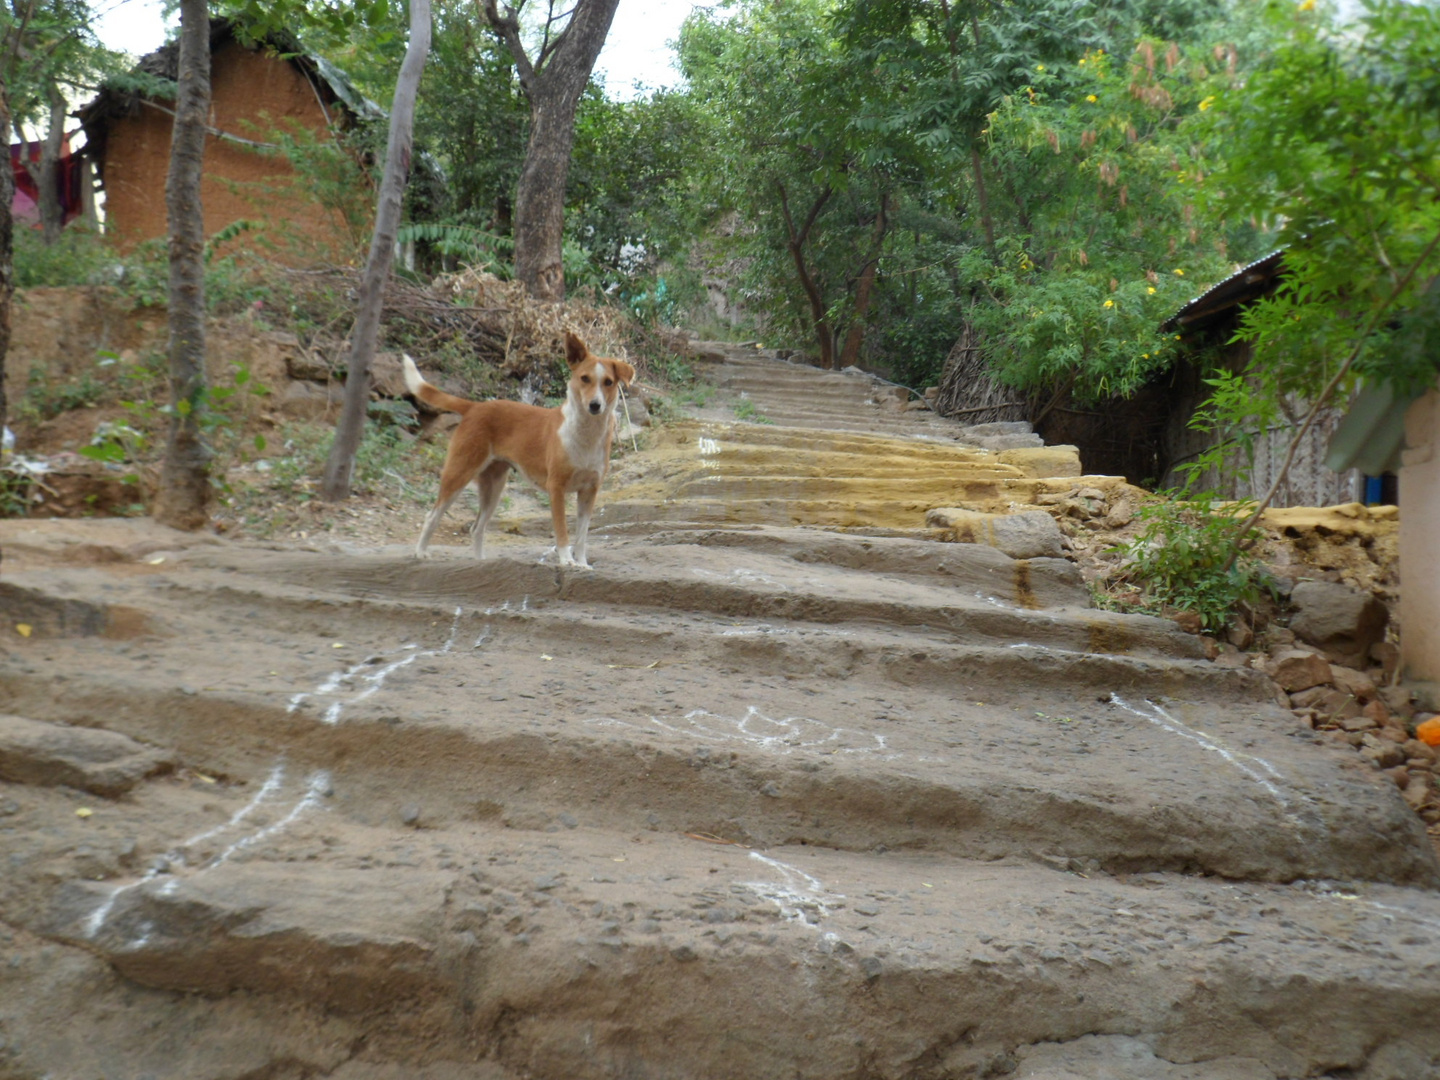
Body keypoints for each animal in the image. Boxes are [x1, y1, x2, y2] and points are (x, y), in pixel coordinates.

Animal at [403, 328, 633, 567]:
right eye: (585, 378)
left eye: (608, 382)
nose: (595, 405)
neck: (586, 434)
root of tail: (474, 407)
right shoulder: (556, 488)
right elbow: (562, 532)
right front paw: (566, 561)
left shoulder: (589, 491)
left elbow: (581, 536)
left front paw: (582, 564)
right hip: (459, 472)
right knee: (432, 516)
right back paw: (420, 552)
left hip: (493, 486)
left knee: (477, 528)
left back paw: (480, 562)